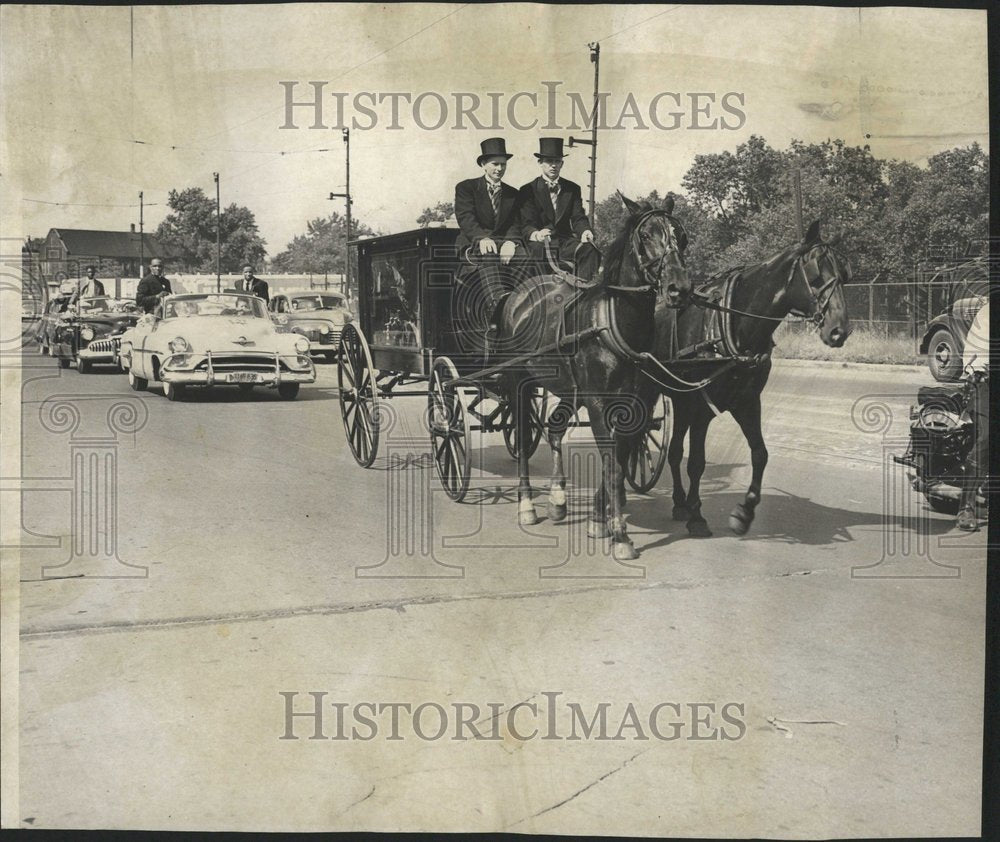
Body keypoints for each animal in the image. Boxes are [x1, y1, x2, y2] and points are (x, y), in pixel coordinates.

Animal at [498, 192, 692, 556]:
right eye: (646, 236)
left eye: (683, 237)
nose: (679, 289)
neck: (615, 323)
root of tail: (518, 296)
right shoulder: (599, 403)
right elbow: (611, 464)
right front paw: (620, 535)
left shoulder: (636, 406)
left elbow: (617, 459)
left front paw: (599, 522)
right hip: (520, 381)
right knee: (523, 433)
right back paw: (527, 504)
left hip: (570, 390)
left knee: (554, 428)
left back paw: (558, 499)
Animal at [648, 217, 852, 532]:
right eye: (816, 275)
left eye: (843, 274)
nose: (839, 330)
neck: (731, 322)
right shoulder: (700, 408)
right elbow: (697, 462)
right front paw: (697, 515)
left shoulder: (747, 402)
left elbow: (760, 453)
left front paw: (744, 511)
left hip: (680, 402)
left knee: (674, 451)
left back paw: (679, 502)